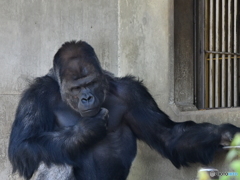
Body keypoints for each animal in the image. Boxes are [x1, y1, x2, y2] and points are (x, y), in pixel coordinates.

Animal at [8, 40, 239, 180]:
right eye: (76, 88)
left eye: (90, 83)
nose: (87, 98)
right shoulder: (35, 96)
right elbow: (23, 146)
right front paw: (86, 130)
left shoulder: (133, 93)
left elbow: (167, 135)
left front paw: (225, 133)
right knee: (52, 158)